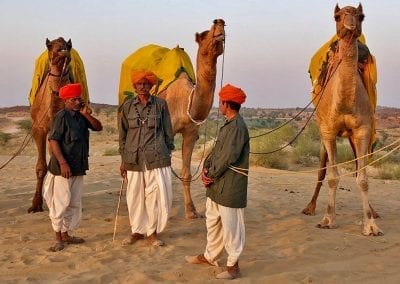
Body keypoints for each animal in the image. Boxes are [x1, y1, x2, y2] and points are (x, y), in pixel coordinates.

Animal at [28, 36, 72, 212]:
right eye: (49, 45)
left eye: (68, 45)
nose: (62, 49)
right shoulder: (38, 129)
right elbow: (41, 167)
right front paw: (35, 204)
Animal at [159, 18, 227, 219]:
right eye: (204, 34)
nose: (219, 21)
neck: (185, 104)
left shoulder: (190, 133)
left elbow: (186, 173)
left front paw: (191, 211)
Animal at [302, 4, 382, 236]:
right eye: (337, 16)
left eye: (361, 15)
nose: (350, 21)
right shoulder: (328, 131)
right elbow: (332, 176)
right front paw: (328, 219)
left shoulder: (363, 131)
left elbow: (362, 178)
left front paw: (370, 225)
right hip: (322, 132)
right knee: (321, 169)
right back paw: (310, 207)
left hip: (353, 137)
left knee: (356, 168)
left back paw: (374, 212)